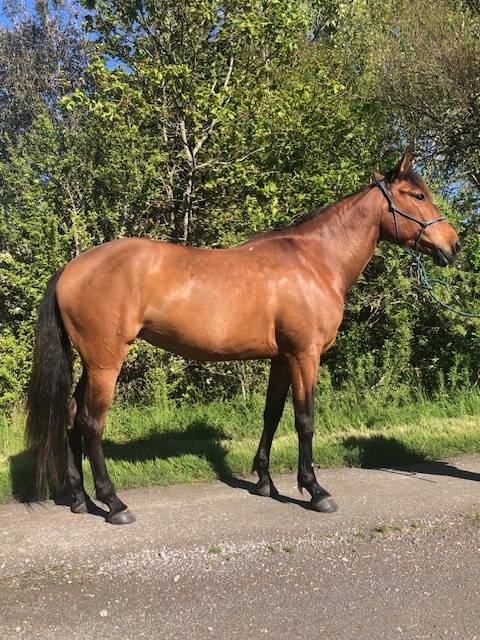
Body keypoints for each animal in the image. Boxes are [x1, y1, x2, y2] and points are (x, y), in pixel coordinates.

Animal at [26, 152, 461, 524]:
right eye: (418, 195)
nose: (453, 245)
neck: (315, 261)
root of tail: (71, 269)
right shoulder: (305, 355)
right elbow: (305, 419)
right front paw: (315, 490)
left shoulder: (282, 357)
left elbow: (272, 414)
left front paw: (265, 481)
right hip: (106, 362)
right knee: (90, 422)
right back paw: (114, 503)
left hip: (92, 362)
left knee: (71, 415)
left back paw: (80, 499)